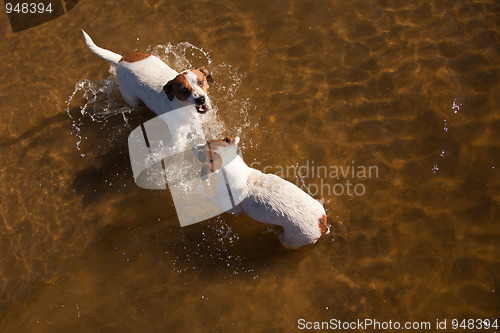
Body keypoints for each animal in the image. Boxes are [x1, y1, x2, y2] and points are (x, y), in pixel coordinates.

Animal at [193, 136, 330, 248]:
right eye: (207, 141)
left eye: (201, 155)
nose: (192, 146)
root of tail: (321, 223)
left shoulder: (234, 210)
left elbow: (215, 200)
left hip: (293, 238)